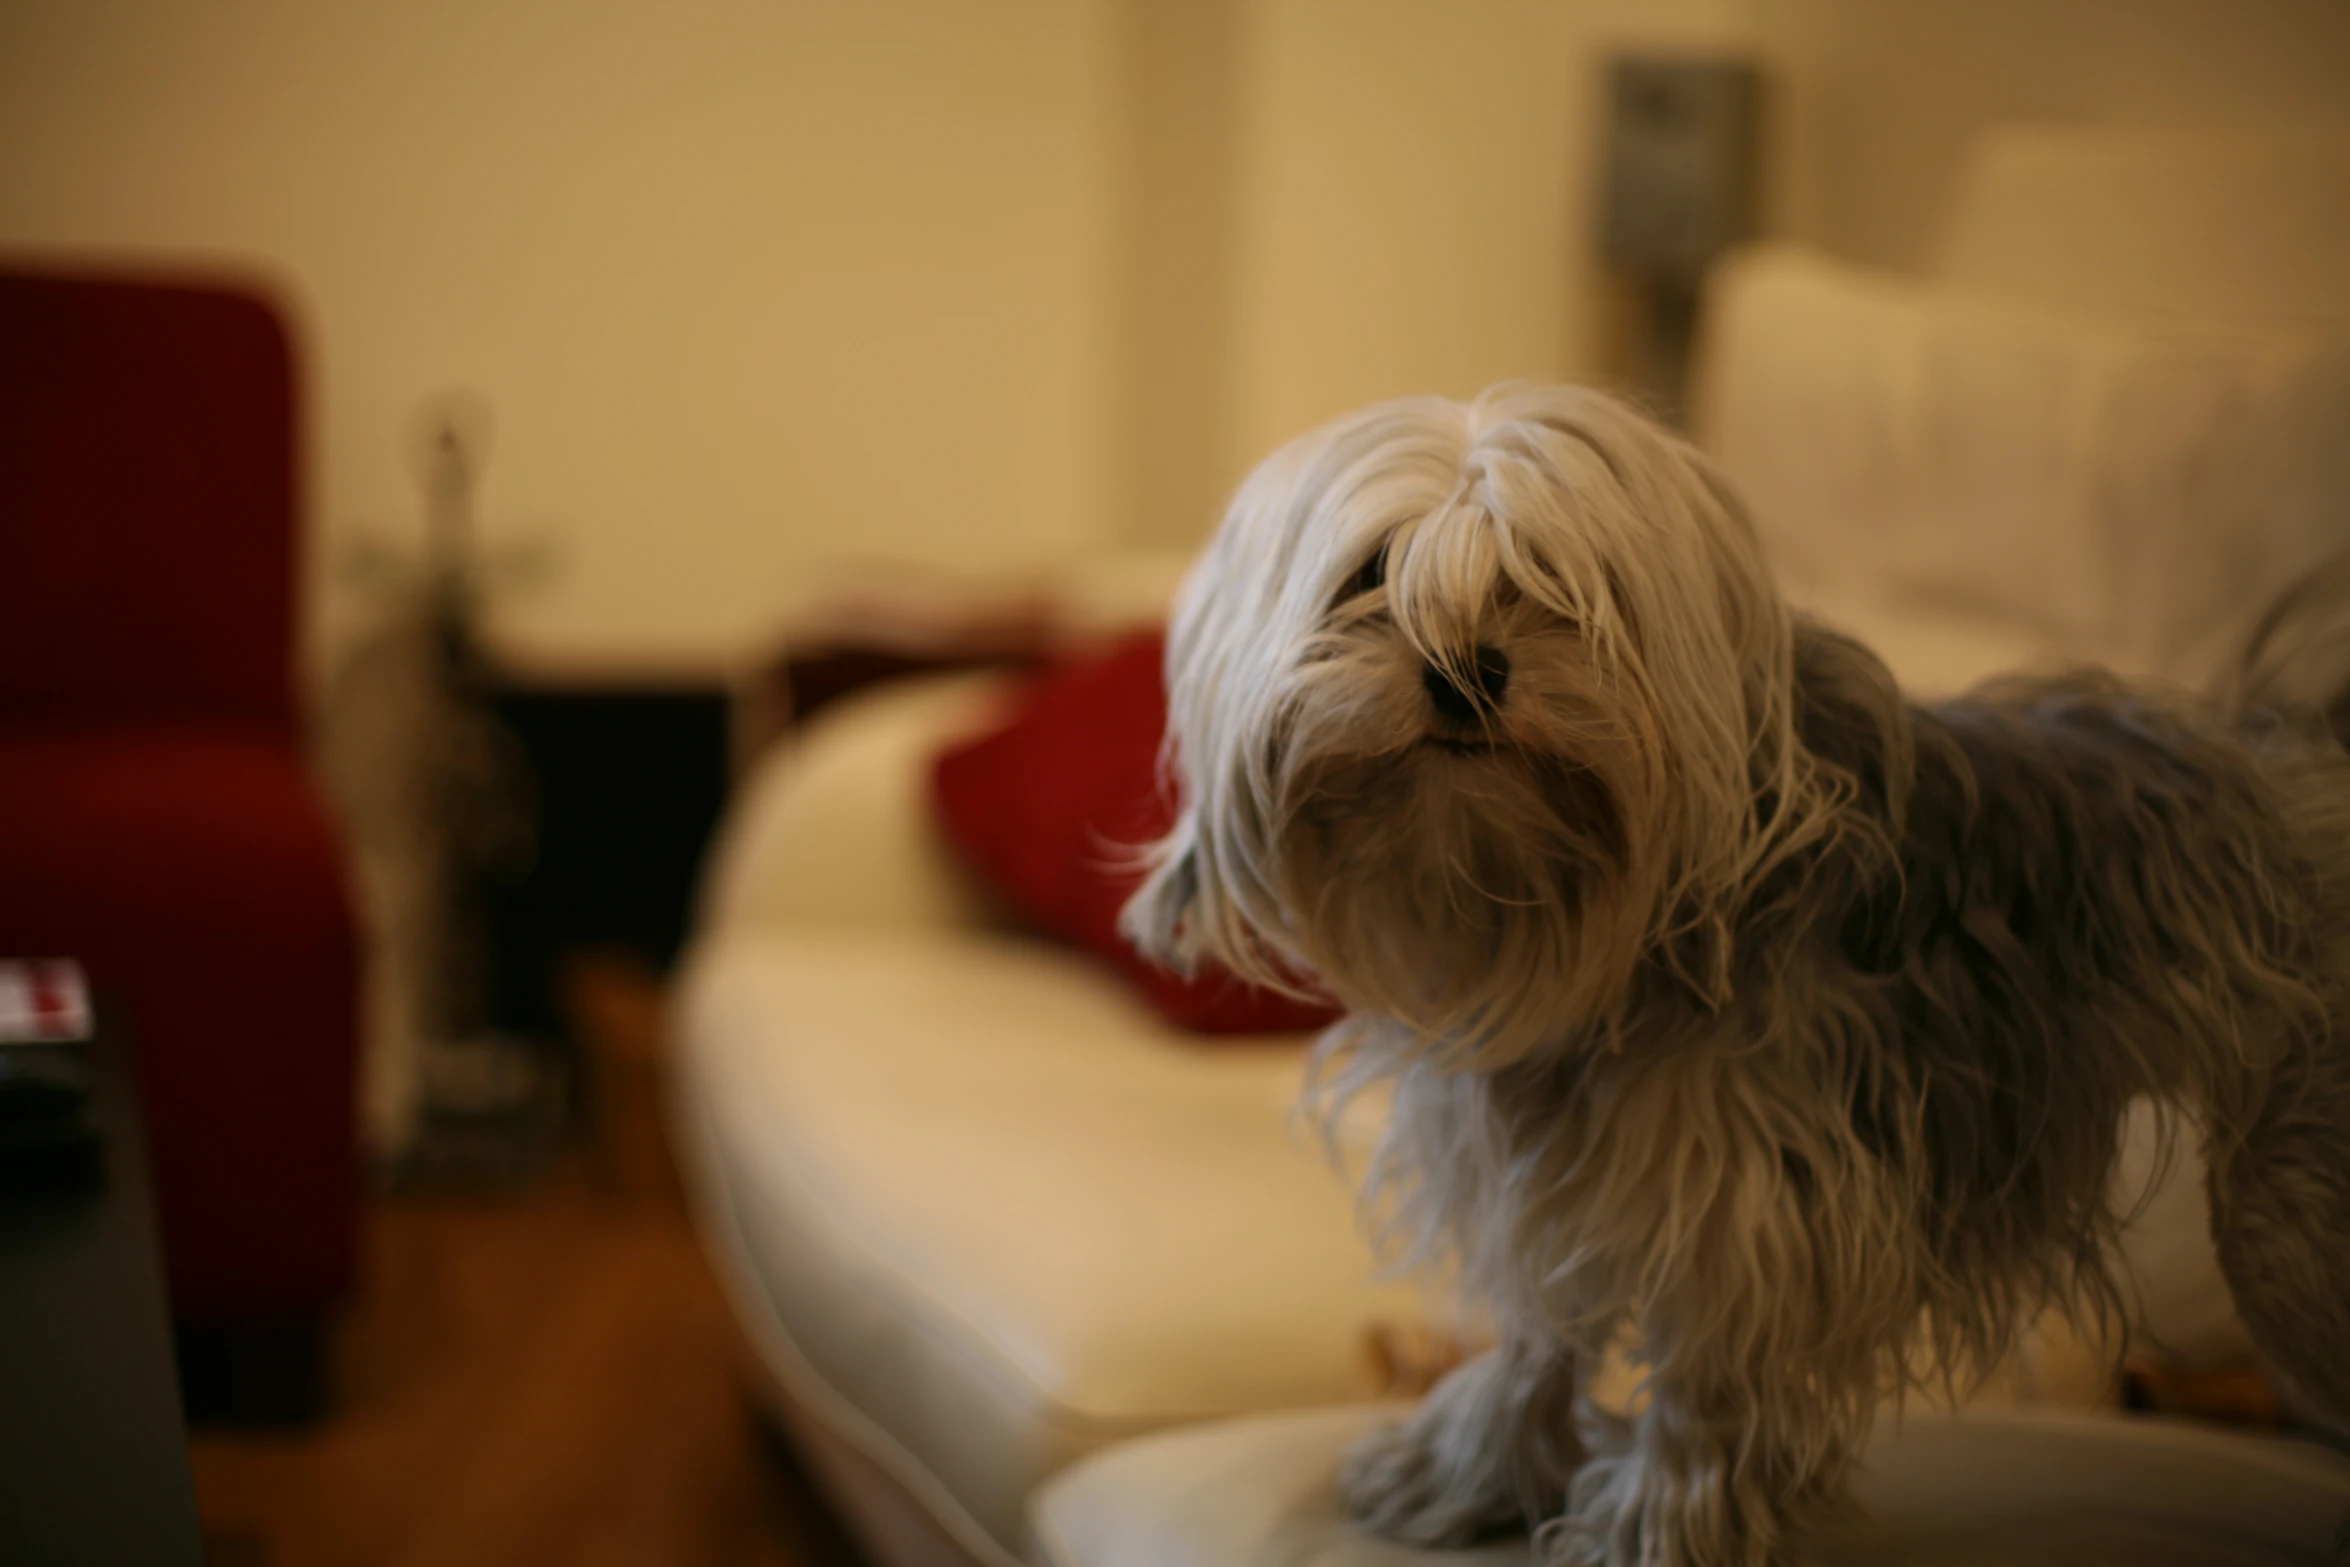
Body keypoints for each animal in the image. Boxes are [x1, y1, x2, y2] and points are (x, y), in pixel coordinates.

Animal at [1118, 382, 2350, 1567]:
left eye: (1552, 581)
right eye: (1371, 572)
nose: (1465, 671)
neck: (1564, 929)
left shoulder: (1748, 1199)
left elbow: (1705, 1380)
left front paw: (1659, 1525)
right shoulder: (1555, 1170)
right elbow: (1541, 1326)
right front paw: (1478, 1466)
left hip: (2286, 1219)